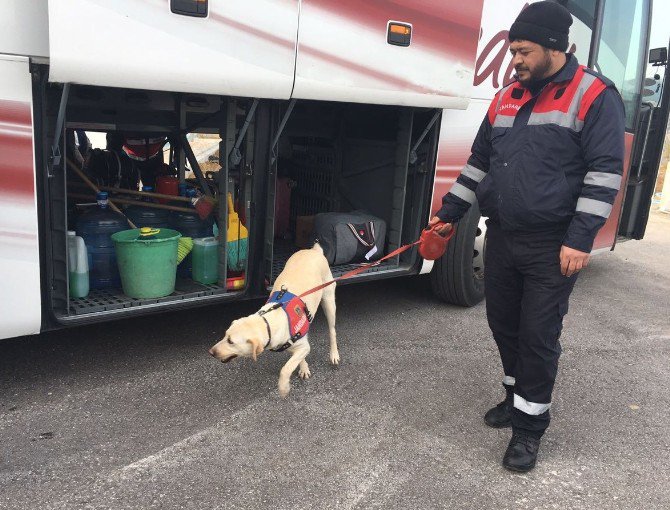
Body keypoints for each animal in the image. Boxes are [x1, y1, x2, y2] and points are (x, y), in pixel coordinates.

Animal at [209, 244, 338, 398]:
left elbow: (286, 368)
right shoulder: (298, 342)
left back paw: (334, 354)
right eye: (224, 335)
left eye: (231, 342)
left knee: (332, 331)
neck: (268, 323)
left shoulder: (300, 345)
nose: (211, 352)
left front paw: (283, 387)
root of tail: (313, 250)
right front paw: (303, 367)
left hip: (329, 300)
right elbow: (298, 355)